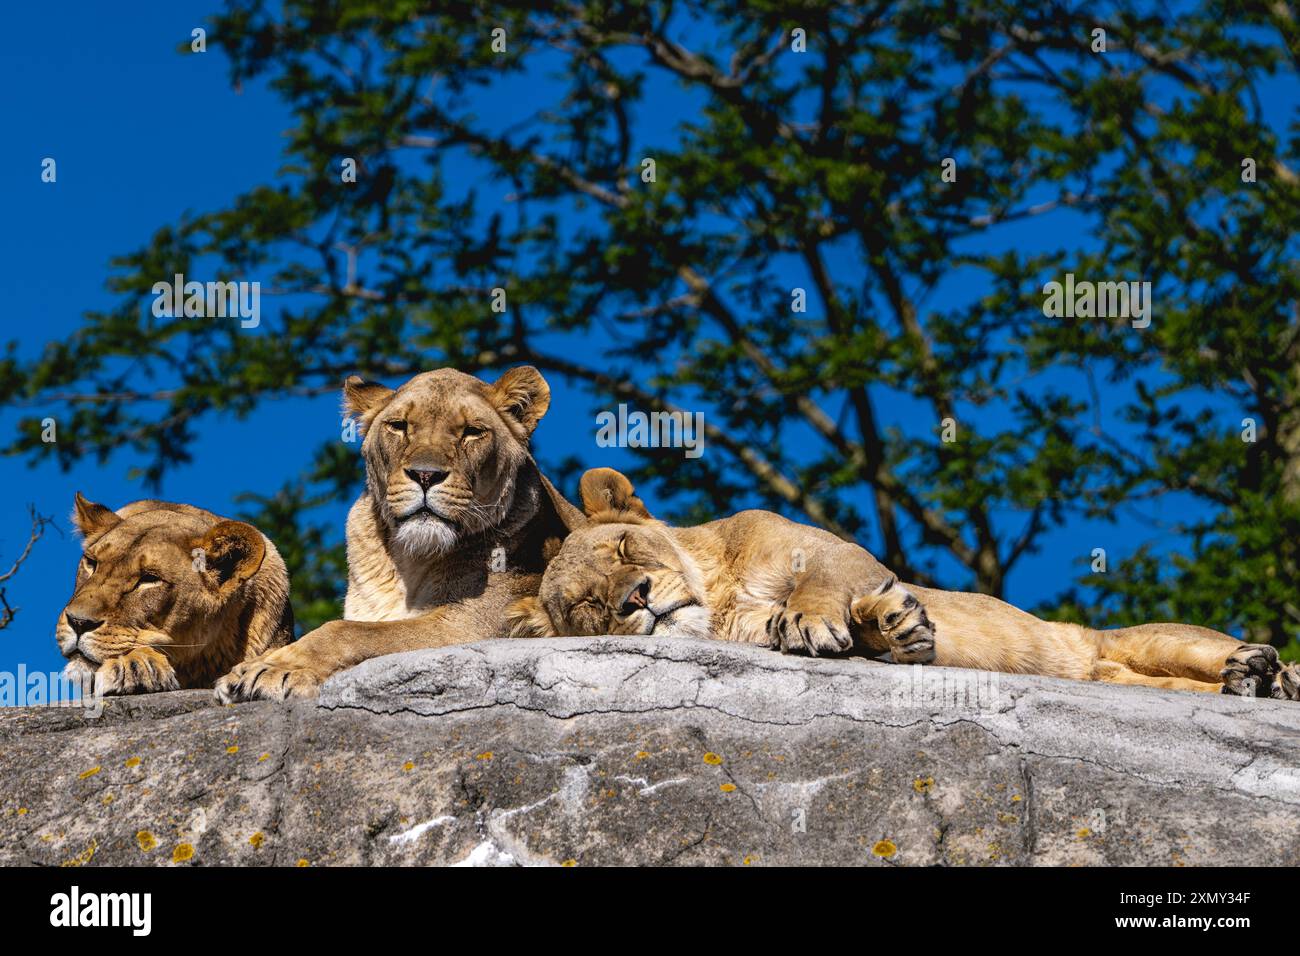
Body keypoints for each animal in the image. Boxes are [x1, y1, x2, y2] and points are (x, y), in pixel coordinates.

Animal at [214, 366, 584, 702]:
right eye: (399, 426)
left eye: (473, 432)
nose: (425, 475)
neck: (410, 561)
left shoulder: (478, 624)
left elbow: (348, 631)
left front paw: (273, 669)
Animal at [508, 468, 1300, 700]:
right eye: (583, 606)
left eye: (624, 547)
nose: (634, 599)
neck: (723, 592)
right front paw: (891, 630)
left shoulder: (834, 550)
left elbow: (823, 587)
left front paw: (859, 620)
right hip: (1129, 674)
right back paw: (1249, 682)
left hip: (1157, 640)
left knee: (1225, 652)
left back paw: (1260, 668)